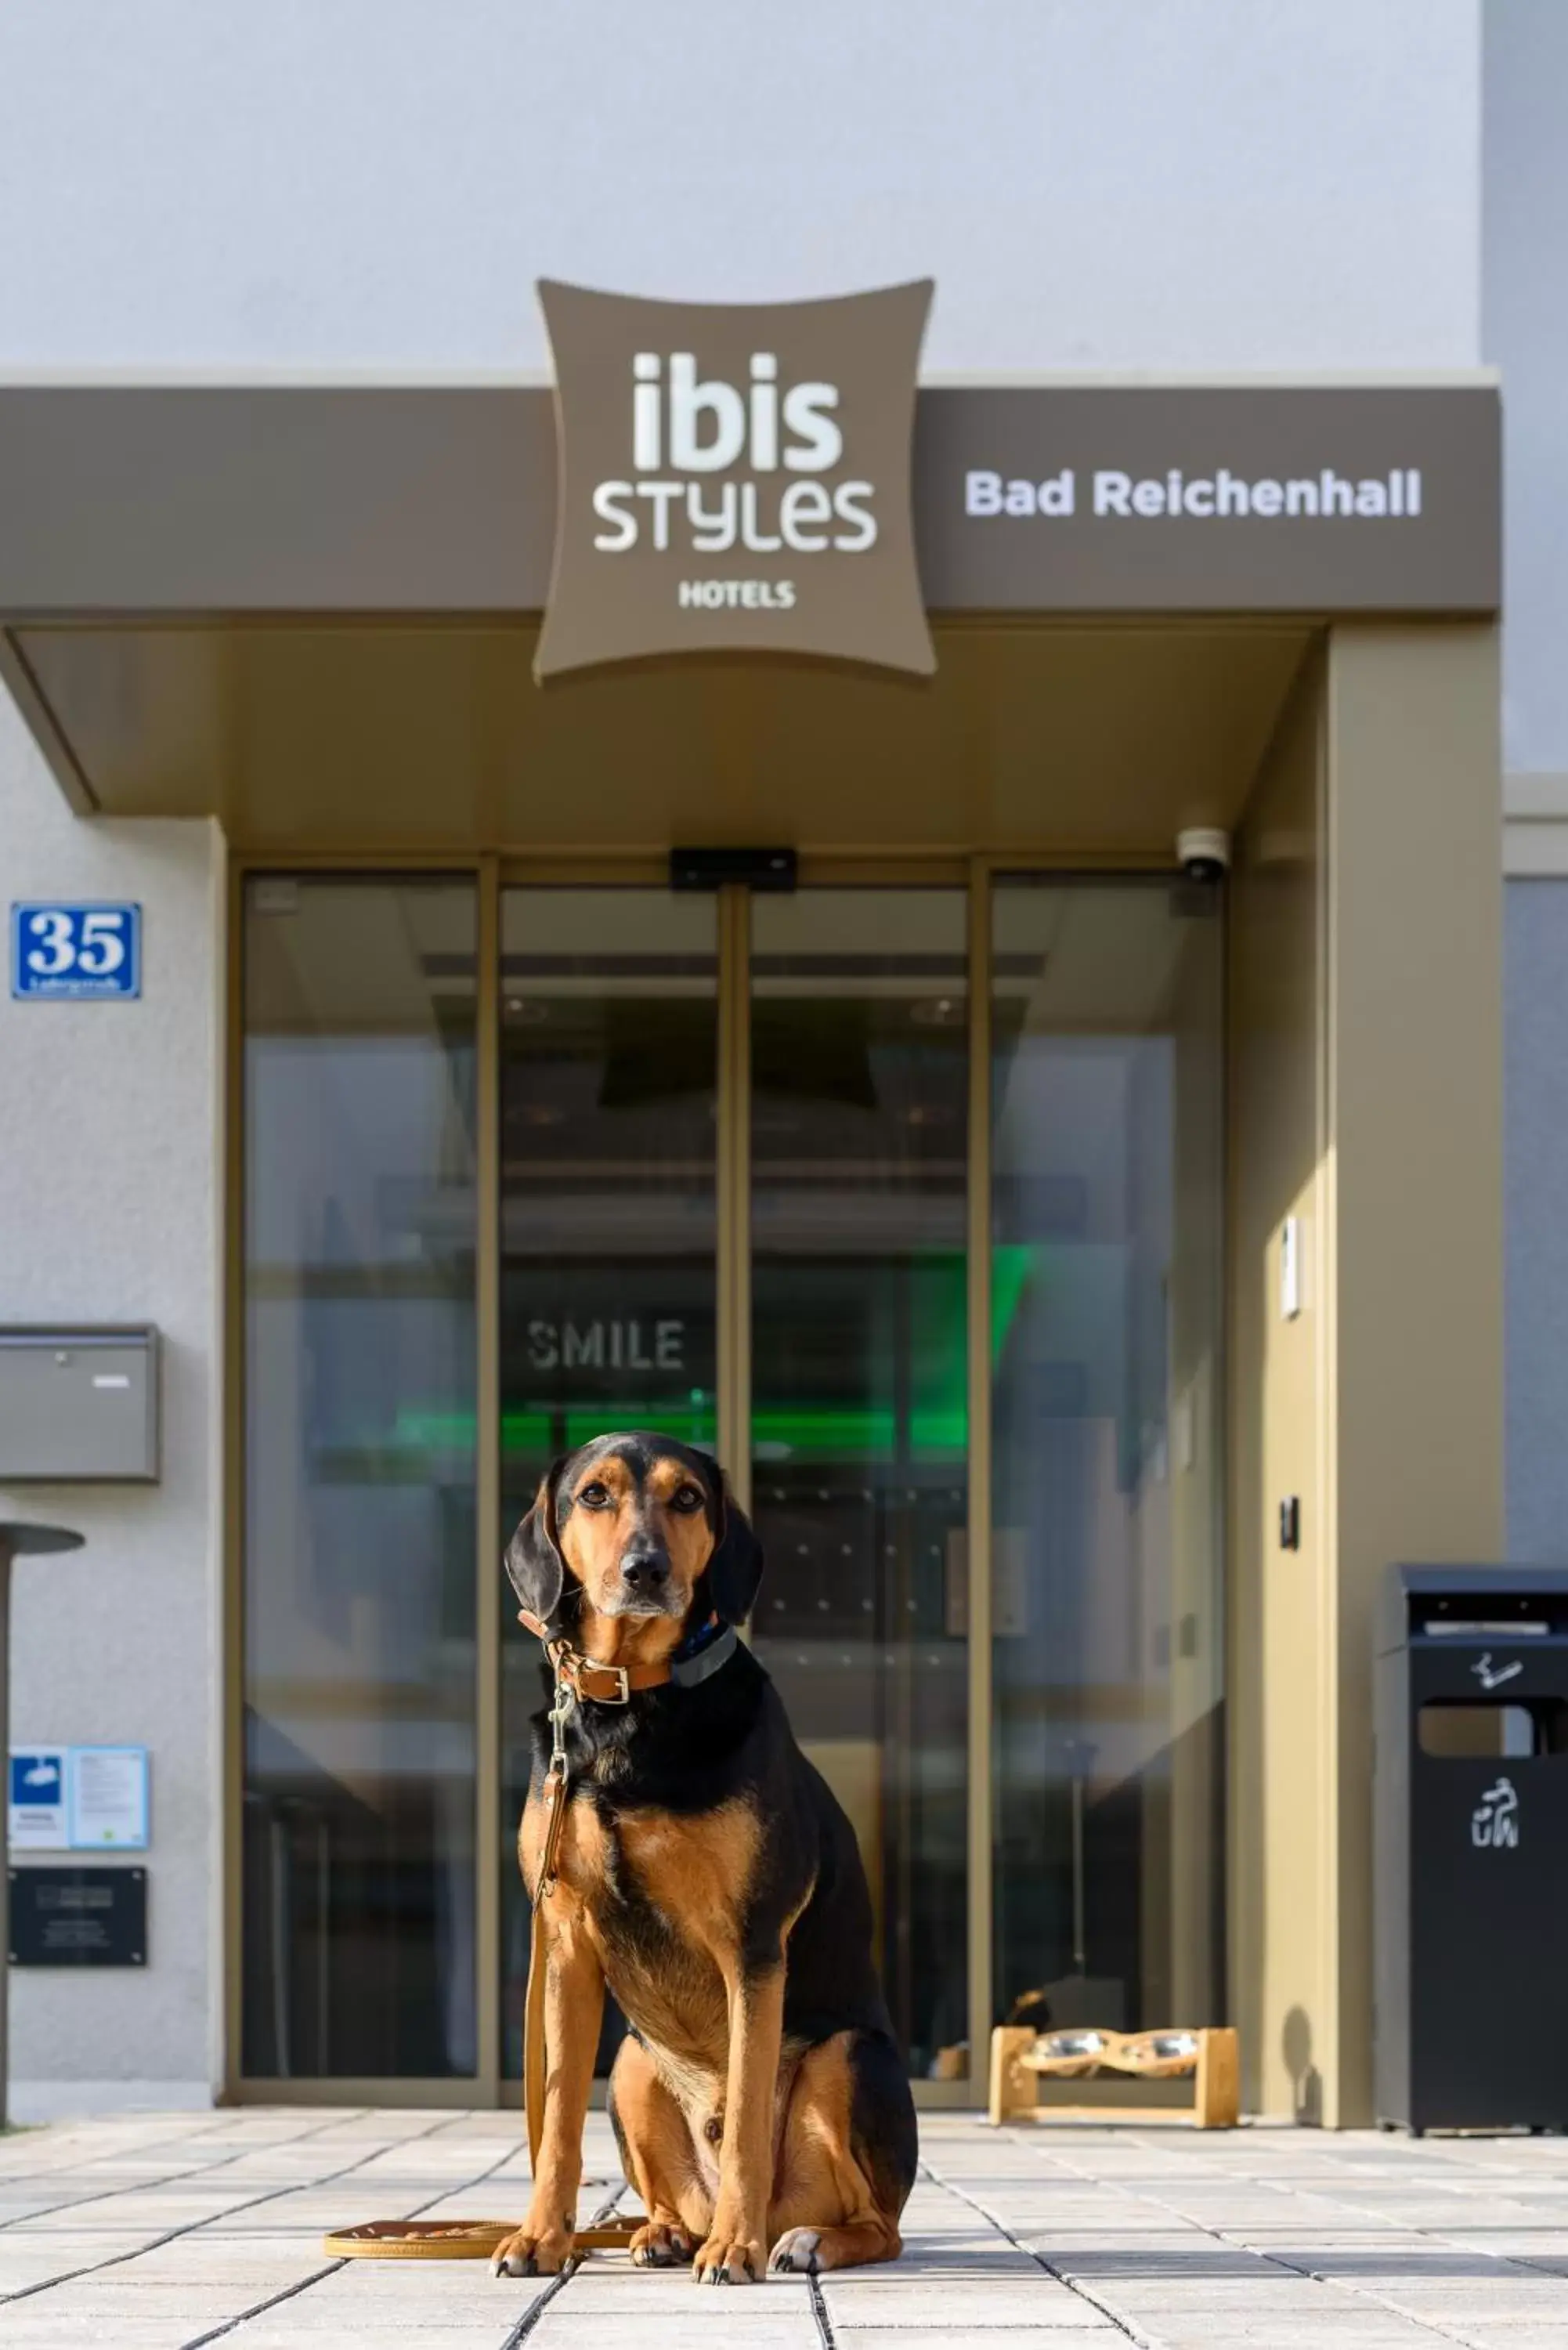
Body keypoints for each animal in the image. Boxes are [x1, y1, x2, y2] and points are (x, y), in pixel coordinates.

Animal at [493, 1419, 921, 2284]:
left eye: (687, 1498)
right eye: (594, 1495)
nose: (646, 1569)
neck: (630, 1702)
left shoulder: (751, 1945)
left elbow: (751, 2113)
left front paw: (736, 2248)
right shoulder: (564, 1941)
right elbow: (556, 2118)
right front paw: (541, 2237)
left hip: (847, 2058)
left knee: (878, 2224)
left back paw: (793, 2239)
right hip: (631, 2062)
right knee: (667, 2193)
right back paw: (663, 2232)